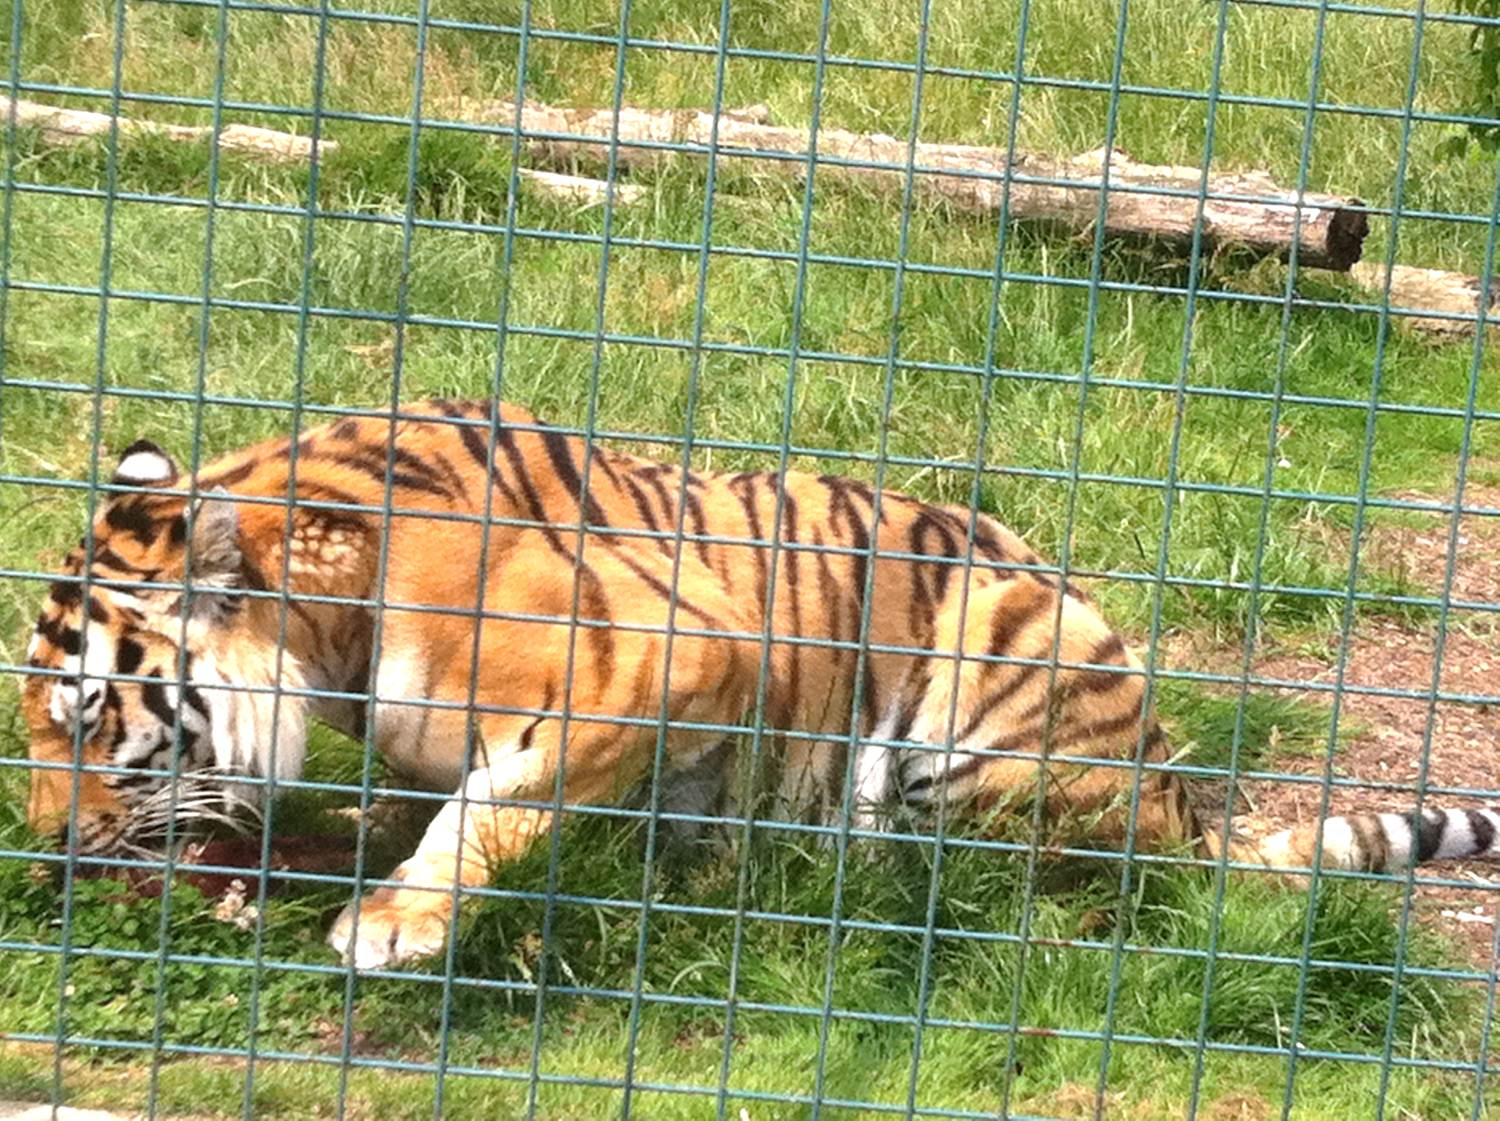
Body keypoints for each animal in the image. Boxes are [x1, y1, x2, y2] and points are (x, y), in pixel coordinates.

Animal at [20, 399, 1500, 970]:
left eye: (90, 719)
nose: (43, 857)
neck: (325, 626)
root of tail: (1181, 796)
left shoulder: (663, 651)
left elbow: (496, 805)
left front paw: (394, 922)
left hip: (993, 674)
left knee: (1021, 881)